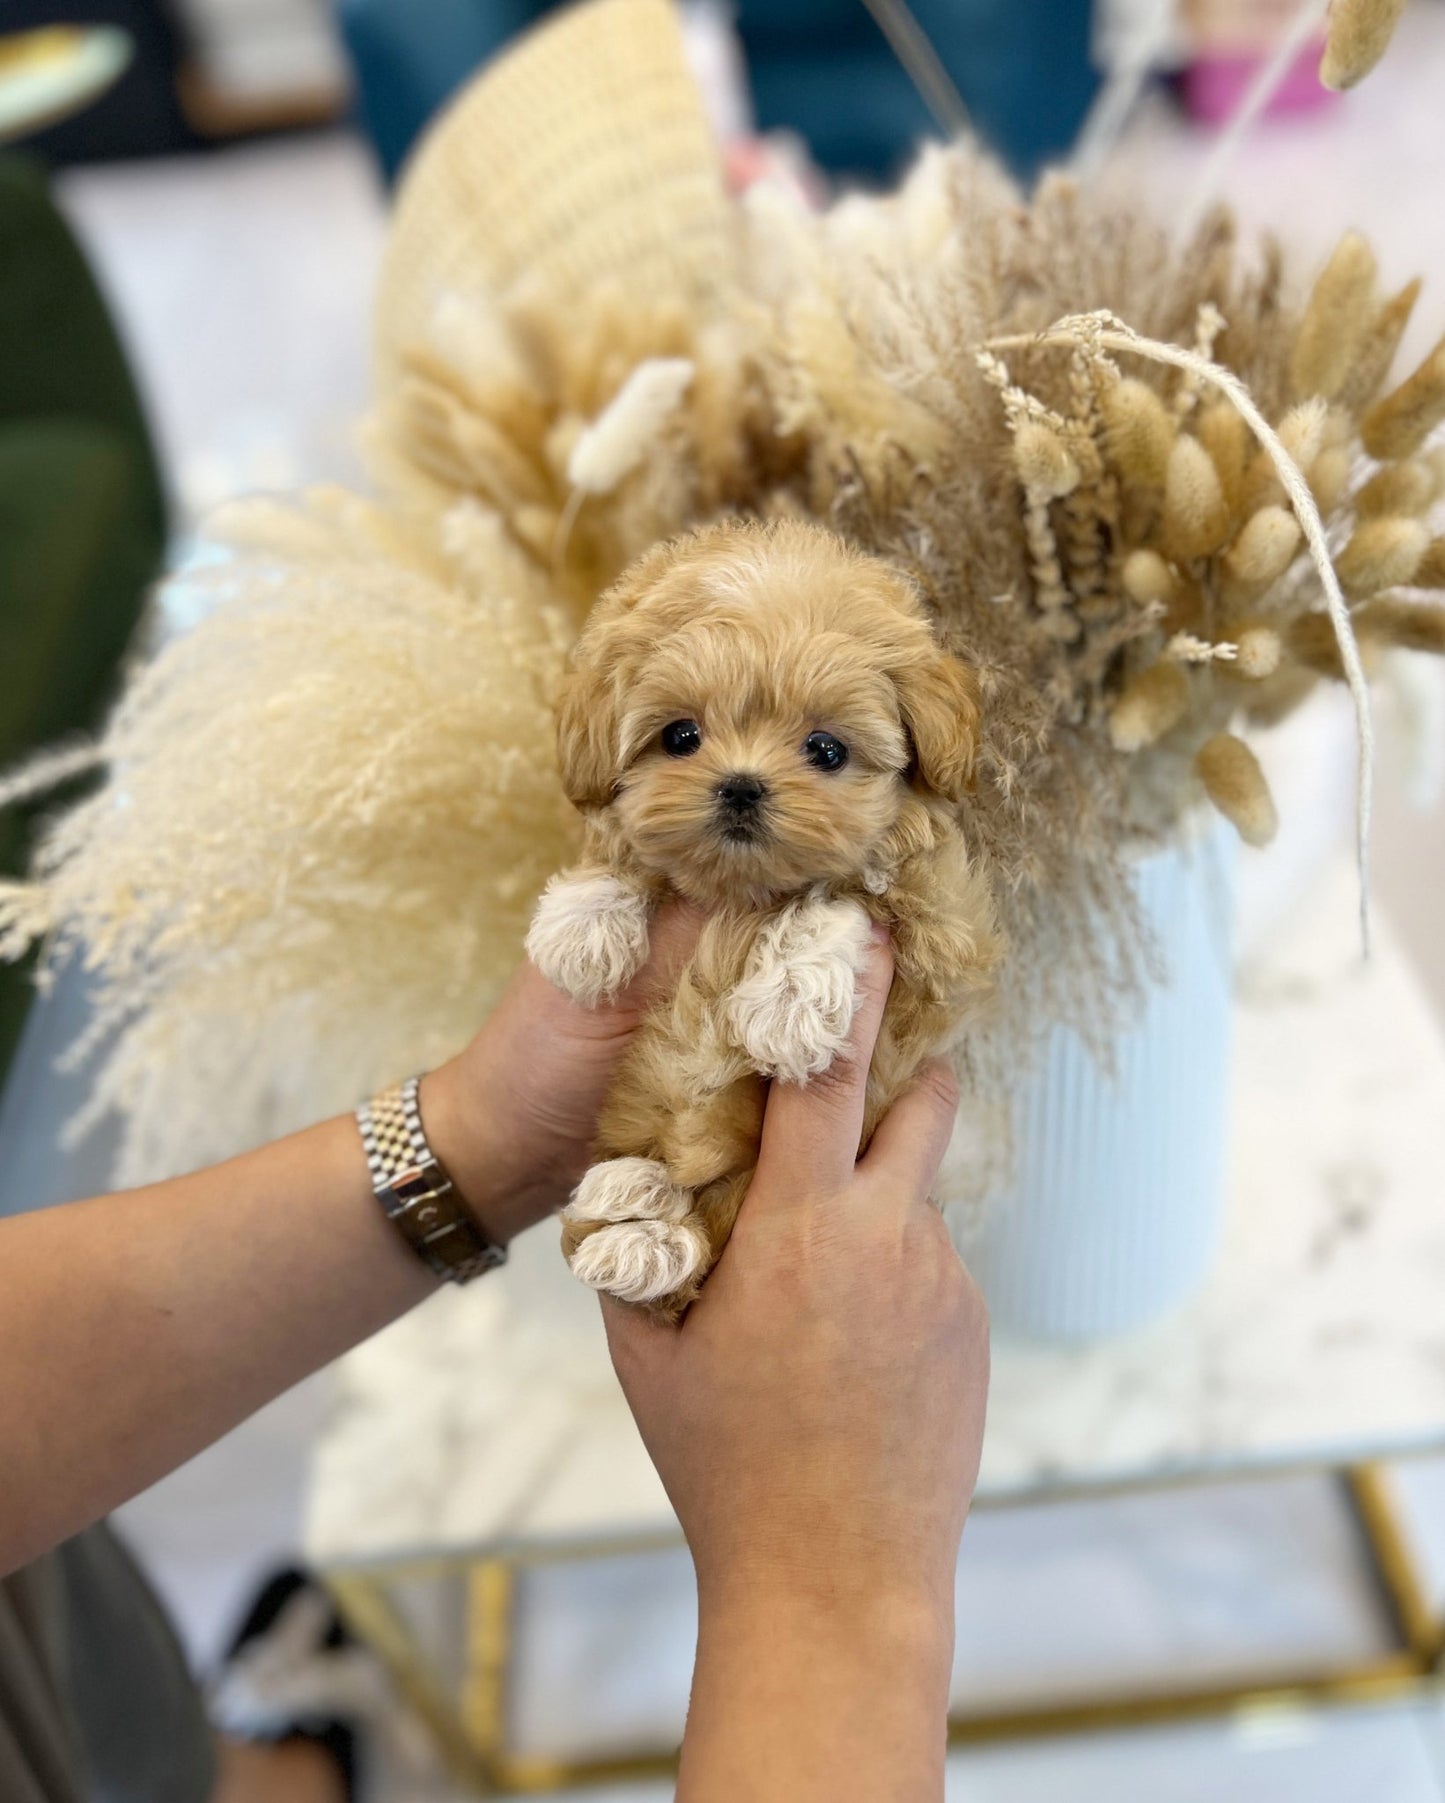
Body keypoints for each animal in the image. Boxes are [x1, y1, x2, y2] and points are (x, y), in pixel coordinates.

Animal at [530, 515, 1003, 1319]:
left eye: (826, 749)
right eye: (680, 736)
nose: (741, 786)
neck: (744, 892)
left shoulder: (945, 933)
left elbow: (839, 896)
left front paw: (786, 1003)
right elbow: (623, 847)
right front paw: (582, 920)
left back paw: (641, 1224)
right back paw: (632, 1211)